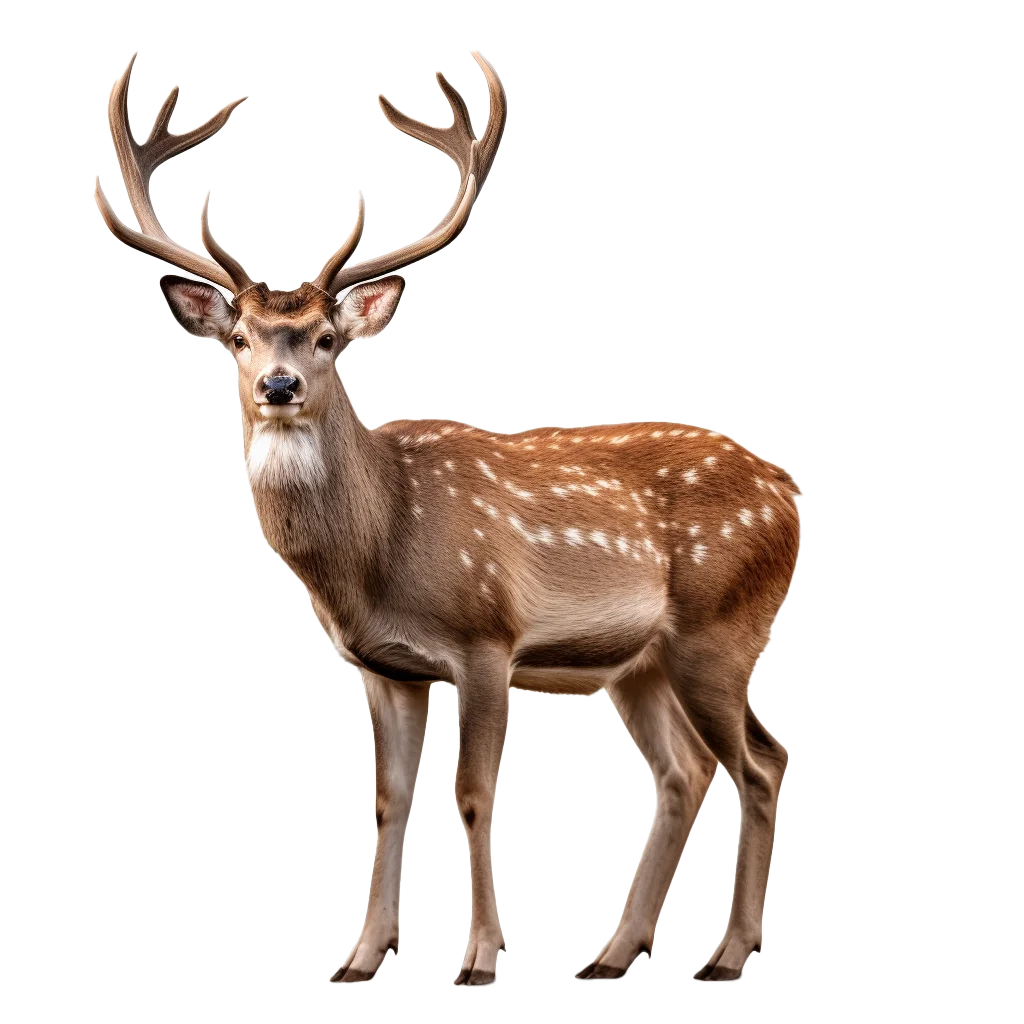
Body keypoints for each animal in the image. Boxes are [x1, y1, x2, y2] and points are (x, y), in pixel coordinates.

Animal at [93, 49, 799, 986]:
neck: (379, 550)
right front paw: (361, 957)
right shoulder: (384, 665)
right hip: (641, 664)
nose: (278, 386)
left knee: (759, 759)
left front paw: (480, 958)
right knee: (684, 772)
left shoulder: (487, 637)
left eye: (327, 340)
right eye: (240, 338)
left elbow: (473, 791)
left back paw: (724, 955)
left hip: (721, 631)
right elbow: (390, 796)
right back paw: (612, 955)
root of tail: (789, 493)